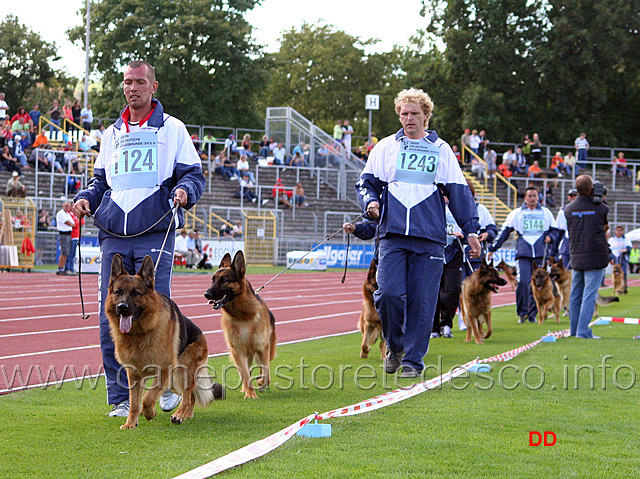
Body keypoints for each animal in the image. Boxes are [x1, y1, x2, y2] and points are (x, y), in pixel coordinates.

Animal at [106, 256, 224, 430]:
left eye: (136, 293)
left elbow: (147, 398)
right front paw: (131, 424)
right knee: (191, 398)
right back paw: (186, 415)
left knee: (187, 397)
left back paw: (179, 415)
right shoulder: (133, 374)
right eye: (118, 292)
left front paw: (150, 413)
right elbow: (134, 403)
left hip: (182, 371)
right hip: (175, 380)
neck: (140, 333)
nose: (122, 307)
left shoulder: (164, 370)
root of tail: (201, 333)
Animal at [204, 251, 276, 402]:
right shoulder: (237, 351)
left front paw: (261, 382)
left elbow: (266, 373)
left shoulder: (262, 348)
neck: (243, 315)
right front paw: (250, 393)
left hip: (267, 350)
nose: (206, 294)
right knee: (246, 371)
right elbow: (246, 375)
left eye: (224, 280)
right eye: (212, 279)